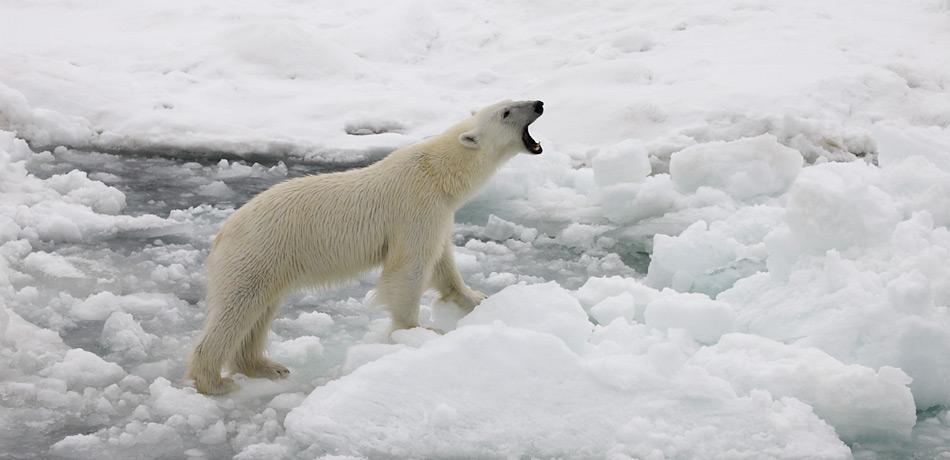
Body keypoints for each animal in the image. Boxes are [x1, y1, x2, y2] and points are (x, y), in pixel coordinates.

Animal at [188, 99, 544, 394]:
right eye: (506, 112)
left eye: (513, 100)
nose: (539, 104)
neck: (437, 174)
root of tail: (222, 234)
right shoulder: (415, 208)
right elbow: (409, 267)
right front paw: (417, 330)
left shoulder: (440, 215)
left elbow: (443, 262)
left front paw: (474, 296)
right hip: (257, 254)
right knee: (237, 309)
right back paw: (215, 382)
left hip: (270, 264)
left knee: (261, 312)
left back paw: (267, 367)